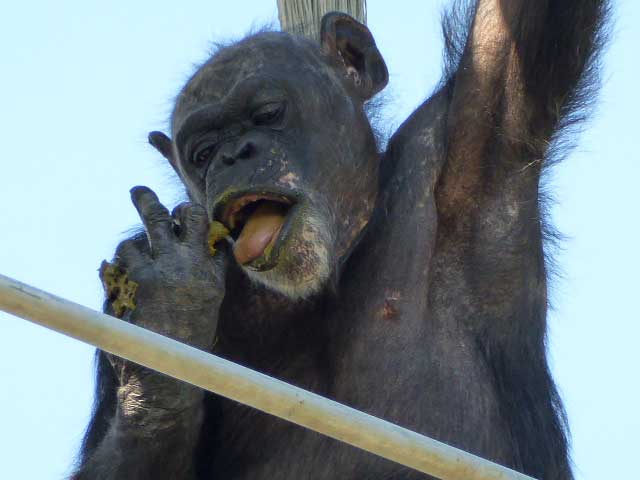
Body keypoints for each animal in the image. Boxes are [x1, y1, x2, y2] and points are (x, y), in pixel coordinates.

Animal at [70, 1, 608, 478]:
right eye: (202, 152)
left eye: (268, 112)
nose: (233, 155)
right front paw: (168, 310)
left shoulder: (475, 127)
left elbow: (519, 25)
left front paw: (168, 302)